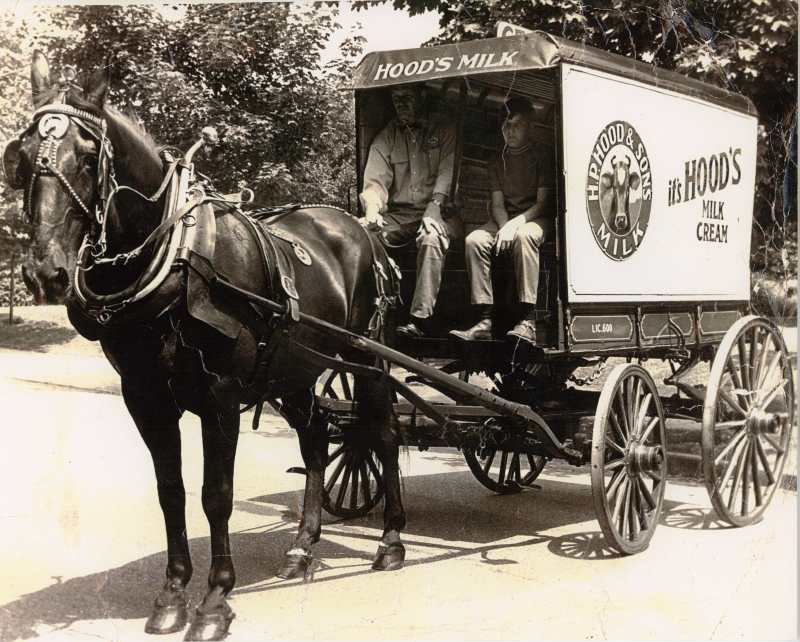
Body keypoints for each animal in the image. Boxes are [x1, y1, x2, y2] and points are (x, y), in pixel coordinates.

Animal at [3, 51, 406, 640]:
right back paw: (302, 548)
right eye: (23, 156)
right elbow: (171, 491)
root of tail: (358, 227)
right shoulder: (145, 396)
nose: (47, 273)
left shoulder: (221, 396)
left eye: (87, 156)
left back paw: (392, 541)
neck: (178, 258)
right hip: (295, 366)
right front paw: (173, 594)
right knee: (315, 438)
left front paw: (215, 600)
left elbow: (217, 495)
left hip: (366, 356)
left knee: (382, 433)